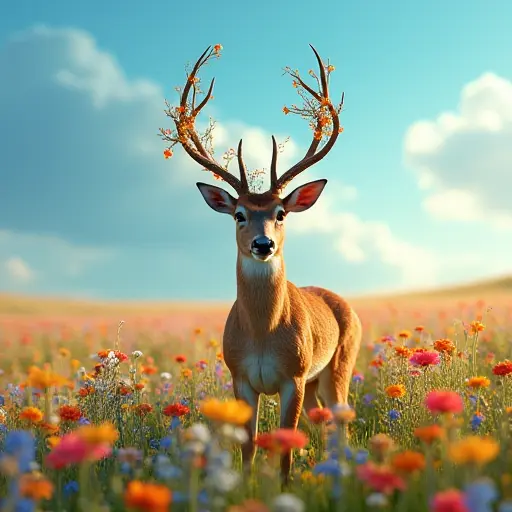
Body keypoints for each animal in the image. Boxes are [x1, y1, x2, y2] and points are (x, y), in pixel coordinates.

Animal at [162, 43, 362, 480]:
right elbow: (249, 447)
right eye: (239, 214)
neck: (262, 332)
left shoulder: (294, 378)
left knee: (342, 423)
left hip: (337, 368)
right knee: (327, 425)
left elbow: (284, 452)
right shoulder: (241, 379)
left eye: (280, 212)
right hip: (318, 382)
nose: (263, 243)